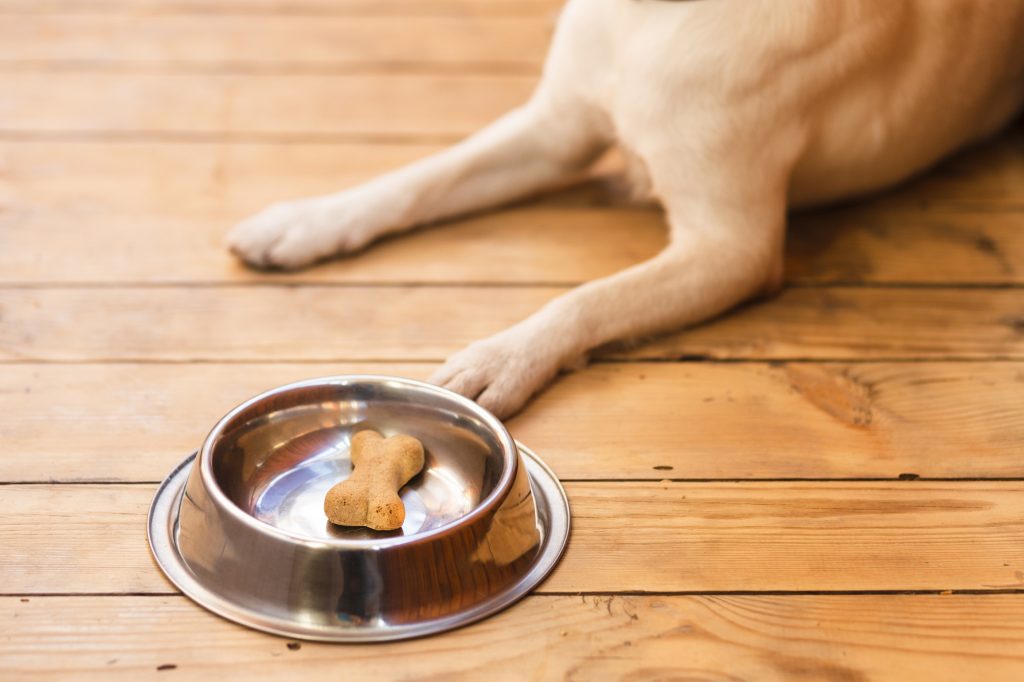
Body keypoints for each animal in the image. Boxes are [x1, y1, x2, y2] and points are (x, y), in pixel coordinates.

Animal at [226, 0, 1024, 417]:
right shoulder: (555, 130)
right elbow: (417, 179)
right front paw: (309, 220)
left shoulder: (729, 249)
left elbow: (586, 298)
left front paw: (501, 359)